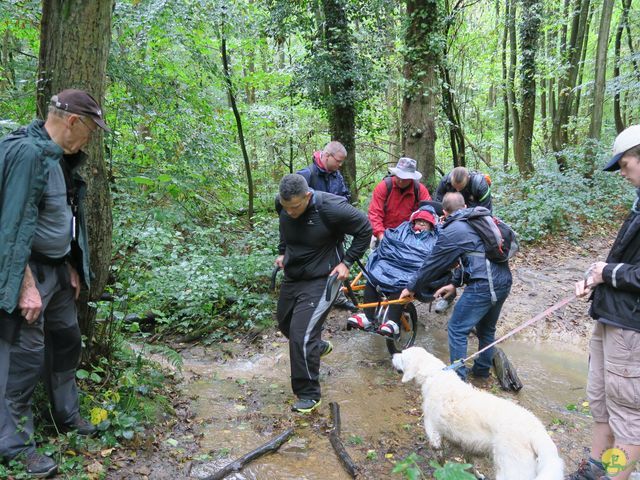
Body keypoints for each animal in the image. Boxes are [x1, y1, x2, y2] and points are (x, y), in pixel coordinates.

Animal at [392, 346, 564, 478]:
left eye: (402, 355)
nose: (393, 355)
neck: (434, 375)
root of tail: (536, 430)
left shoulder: (434, 434)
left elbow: (441, 462)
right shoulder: (466, 444)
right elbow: (469, 464)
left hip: (510, 471)